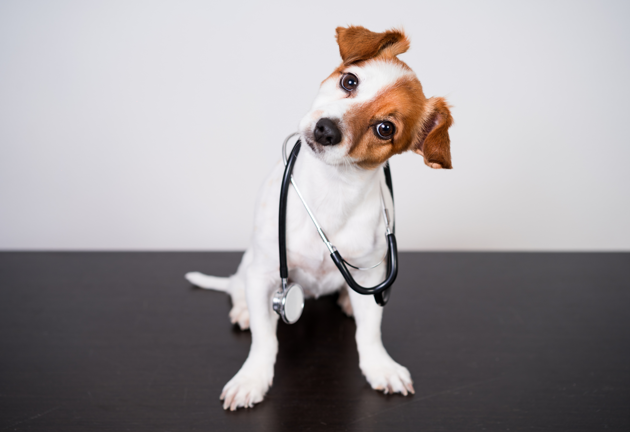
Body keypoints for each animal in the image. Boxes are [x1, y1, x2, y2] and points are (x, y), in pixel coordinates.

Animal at [186, 25, 454, 410]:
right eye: (349, 81)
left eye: (385, 129)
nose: (327, 129)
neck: (332, 189)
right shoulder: (265, 272)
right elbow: (265, 340)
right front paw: (252, 378)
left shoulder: (371, 275)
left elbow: (370, 333)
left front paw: (380, 366)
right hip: (250, 265)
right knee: (238, 286)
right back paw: (244, 311)